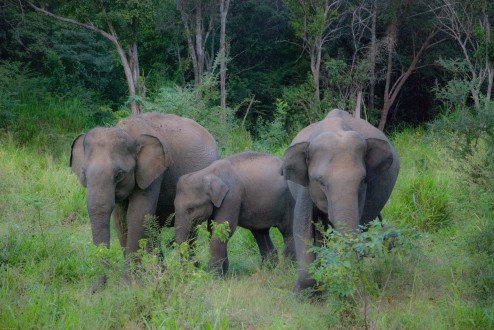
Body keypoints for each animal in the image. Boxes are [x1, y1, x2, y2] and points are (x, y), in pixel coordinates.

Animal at [69, 113, 218, 284]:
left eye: (119, 174)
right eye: (83, 173)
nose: (95, 288)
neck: (125, 130)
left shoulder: (152, 173)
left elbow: (137, 215)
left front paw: (129, 283)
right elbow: (121, 221)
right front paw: (138, 279)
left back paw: (187, 273)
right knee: (154, 230)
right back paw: (163, 275)